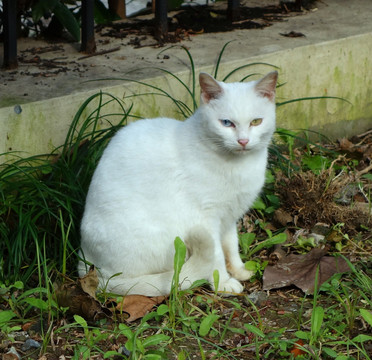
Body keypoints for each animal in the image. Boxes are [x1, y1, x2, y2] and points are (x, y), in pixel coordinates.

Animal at [79, 69, 276, 296]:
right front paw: (223, 283)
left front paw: (239, 269)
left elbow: (231, 245)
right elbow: (217, 255)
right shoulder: (206, 218)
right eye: (227, 123)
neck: (239, 166)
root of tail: (86, 263)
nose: (243, 141)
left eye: (256, 122)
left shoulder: (229, 216)